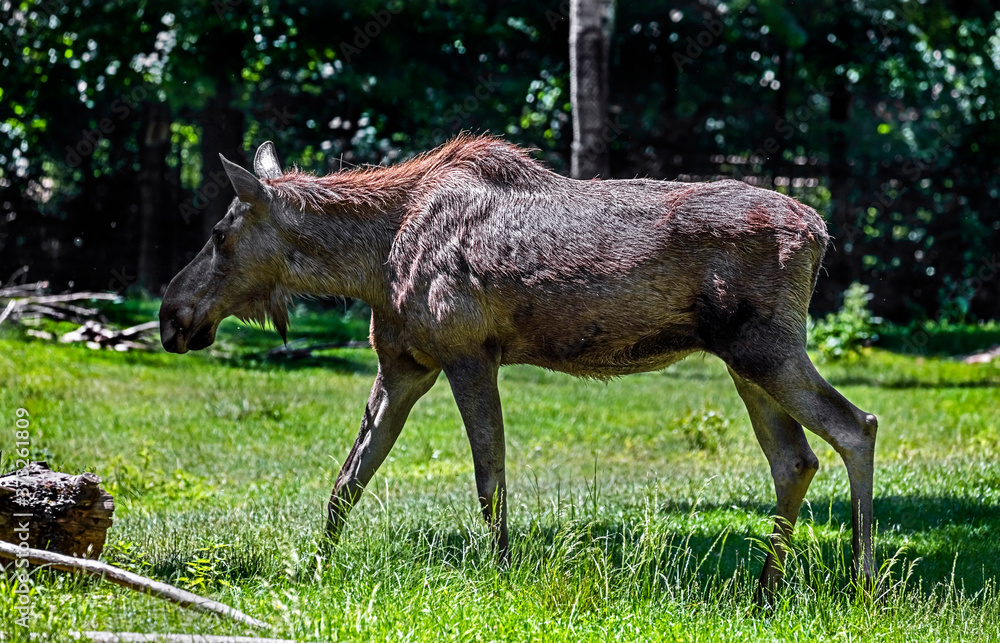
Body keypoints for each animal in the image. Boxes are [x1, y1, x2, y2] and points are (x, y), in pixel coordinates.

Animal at [159, 136, 878, 600]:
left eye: (219, 235)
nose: (170, 314)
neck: (368, 263)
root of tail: (819, 228)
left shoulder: (467, 351)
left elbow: (489, 480)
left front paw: (503, 576)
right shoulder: (405, 364)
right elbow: (347, 480)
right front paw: (309, 571)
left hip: (766, 347)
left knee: (856, 425)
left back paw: (862, 583)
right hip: (743, 362)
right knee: (794, 458)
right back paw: (764, 590)